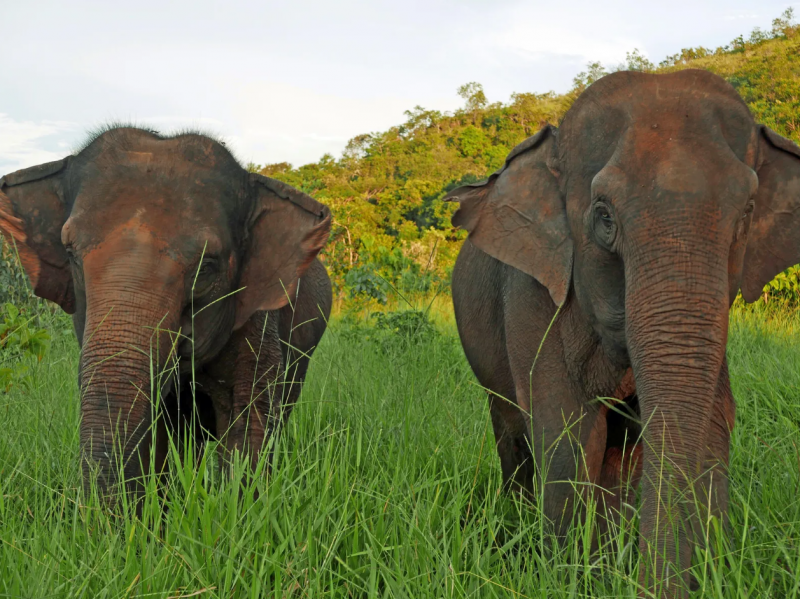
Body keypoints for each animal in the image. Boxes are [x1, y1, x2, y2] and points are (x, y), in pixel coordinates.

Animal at [446, 69, 800, 596]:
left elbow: (711, 424)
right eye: (604, 215)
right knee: (513, 431)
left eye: (747, 212)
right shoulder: (533, 293)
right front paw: (572, 577)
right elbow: (567, 434)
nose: (655, 585)